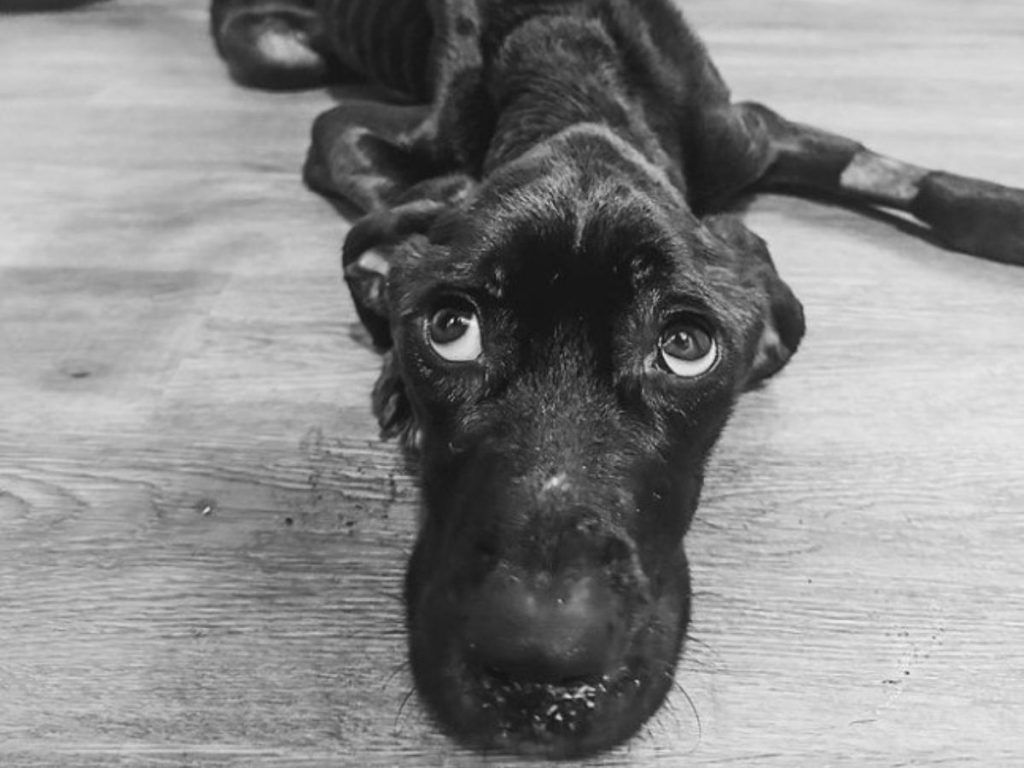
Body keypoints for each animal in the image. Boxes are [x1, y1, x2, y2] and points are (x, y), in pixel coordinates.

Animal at [209, 0, 1024, 757]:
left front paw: (1001, 212)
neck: (573, 84)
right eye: (450, 329)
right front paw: (394, 375)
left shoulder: (749, 131)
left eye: (687, 346)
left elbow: (900, 176)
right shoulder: (344, 130)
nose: (539, 664)